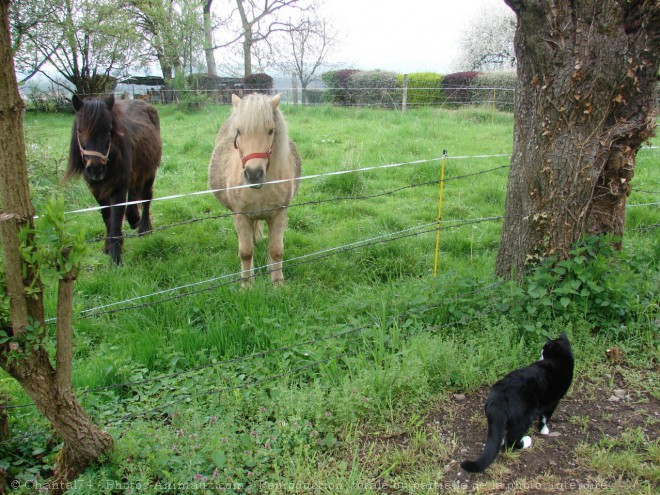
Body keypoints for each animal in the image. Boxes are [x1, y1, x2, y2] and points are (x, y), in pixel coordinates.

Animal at [66, 93, 162, 264]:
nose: (96, 168)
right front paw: (108, 248)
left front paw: (116, 260)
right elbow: (107, 217)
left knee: (146, 197)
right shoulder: (97, 189)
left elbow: (116, 221)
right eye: (79, 130)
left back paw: (143, 227)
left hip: (149, 171)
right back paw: (134, 218)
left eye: (109, 130)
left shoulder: (118, 187)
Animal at [209, 94, 302, 284]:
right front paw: (247, 285)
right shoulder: (241, 216)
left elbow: (276, 250)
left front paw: (277, 283)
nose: (253, 174)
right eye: (239, 132)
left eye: (271, 131)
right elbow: (246, 253)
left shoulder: (279, 214)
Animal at [458, 334, 572, 472]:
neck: (561, 358)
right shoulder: (553, 401)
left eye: (543, 350)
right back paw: (526, 441)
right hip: (524, 418)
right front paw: (544, 430)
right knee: (512, 440)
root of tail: (499, 399)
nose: (540, 353)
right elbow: (545, 418)